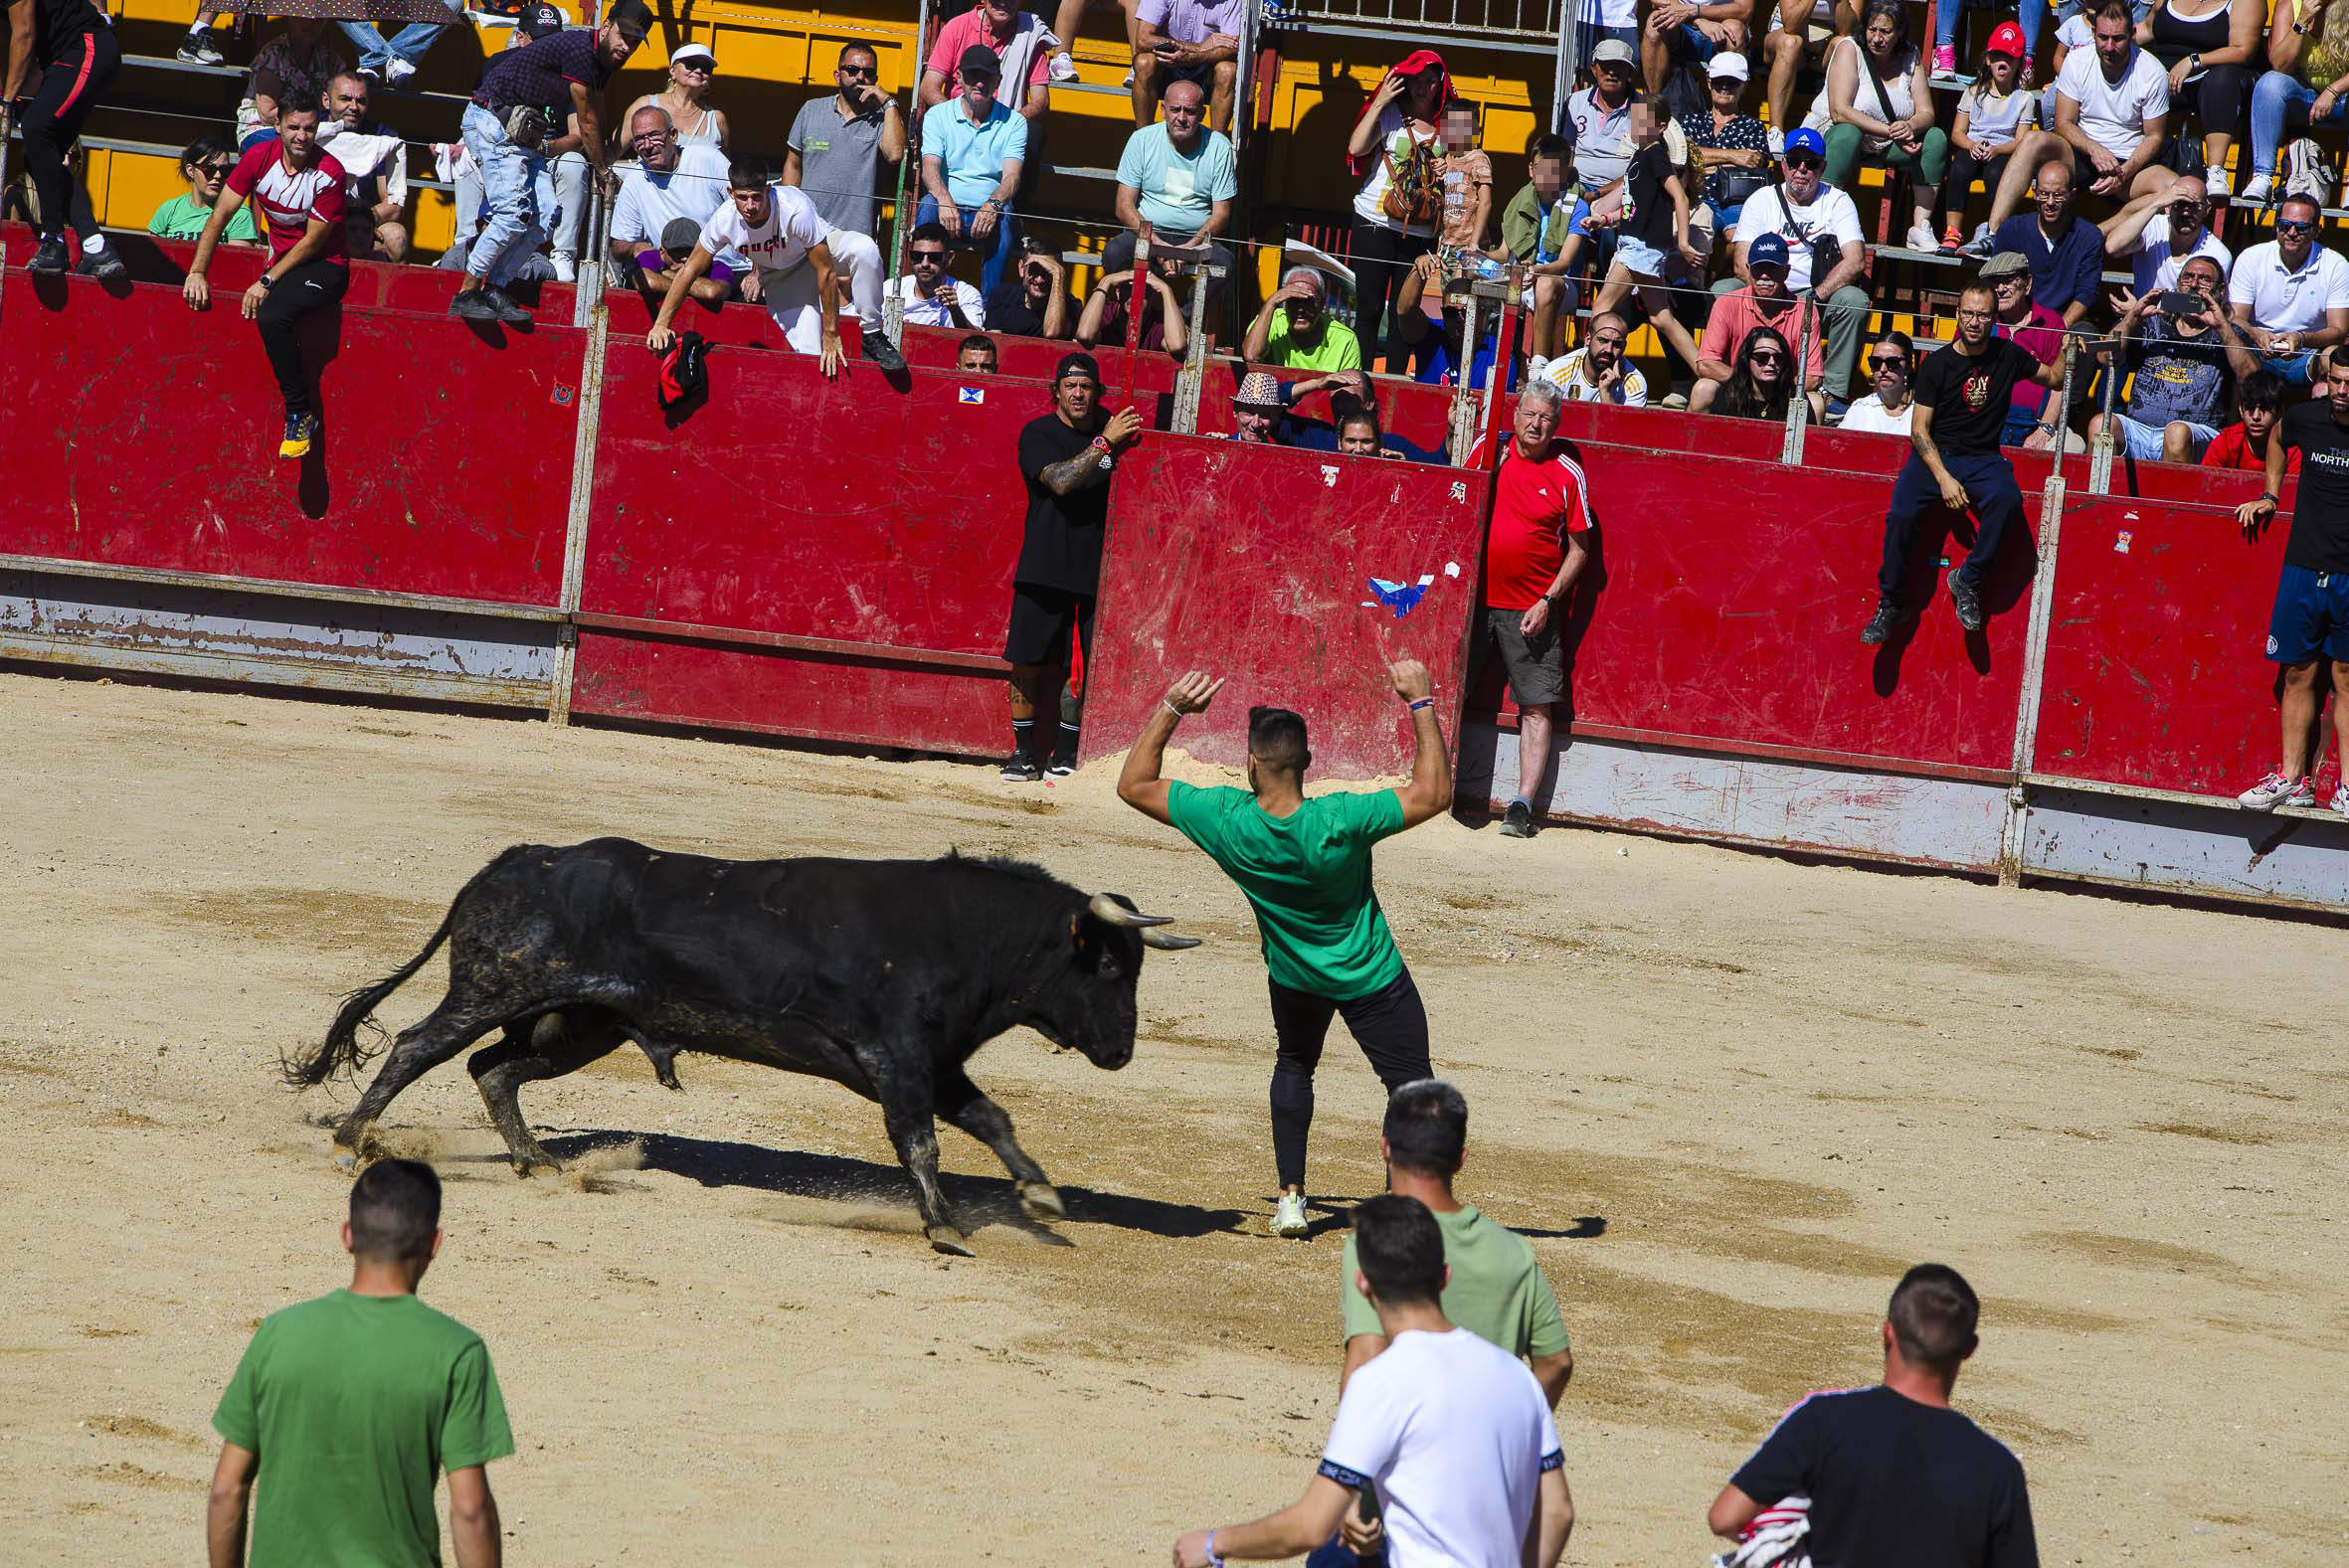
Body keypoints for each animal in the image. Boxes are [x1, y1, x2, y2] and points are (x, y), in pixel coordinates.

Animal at [290, 840, 1202, 1258]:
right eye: (1111, 965)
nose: (1121, 1050)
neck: (962, 936)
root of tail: (514, 860)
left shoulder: (934, 1065)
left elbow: (992, 1118)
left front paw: (1040, 1193)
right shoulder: (899, 1061)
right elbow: (923, 1141)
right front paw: (945, 1226)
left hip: (579, 1024)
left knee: (493, 1069)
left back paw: (537, 1161)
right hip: (495, 991)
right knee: (419, 1046)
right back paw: (349, 1142)